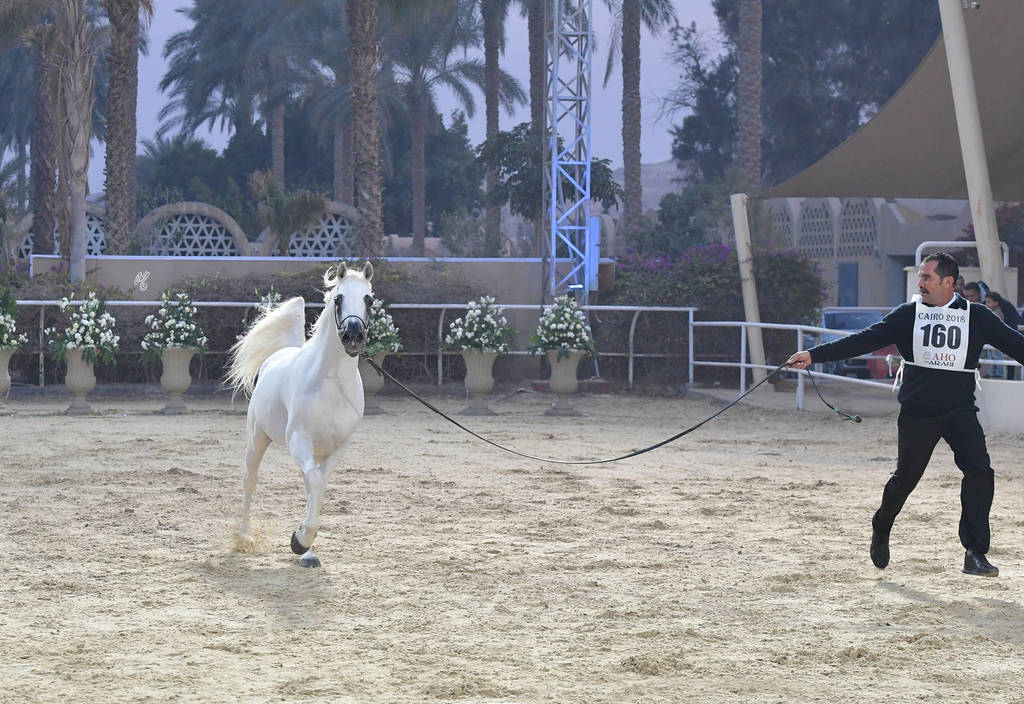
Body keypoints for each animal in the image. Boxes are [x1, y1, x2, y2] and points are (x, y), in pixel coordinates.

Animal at [225, 261, 374, 567]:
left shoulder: (338, 447)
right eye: (338, 299)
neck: (331, 383)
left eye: (369, 299)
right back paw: (245, 537)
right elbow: (315, 483)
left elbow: (318, 487)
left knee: (308, 484)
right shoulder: (298, 441)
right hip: (257, 440)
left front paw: (304, 544)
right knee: (250, 482)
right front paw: (299, 540)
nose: (353, 336)